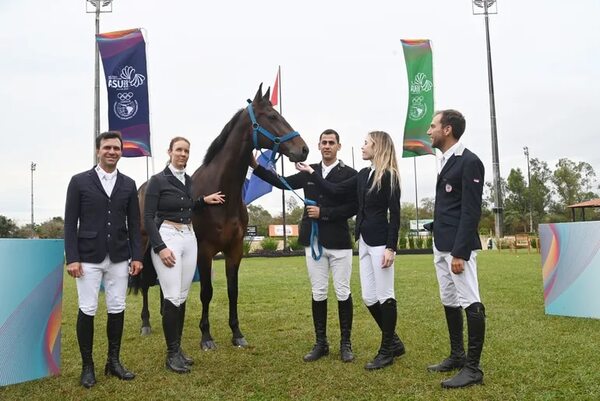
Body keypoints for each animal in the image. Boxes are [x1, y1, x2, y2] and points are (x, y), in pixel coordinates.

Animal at [133, 84, 308, 350]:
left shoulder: (234, 249)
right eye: (272, 117)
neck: (223, 193)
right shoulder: (204, 251)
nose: (304, 149)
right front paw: (206, 337)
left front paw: (237, 333)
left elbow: (233, 291)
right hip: (145, 243)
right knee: (144, 282)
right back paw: (145, 323)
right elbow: (206, 292)